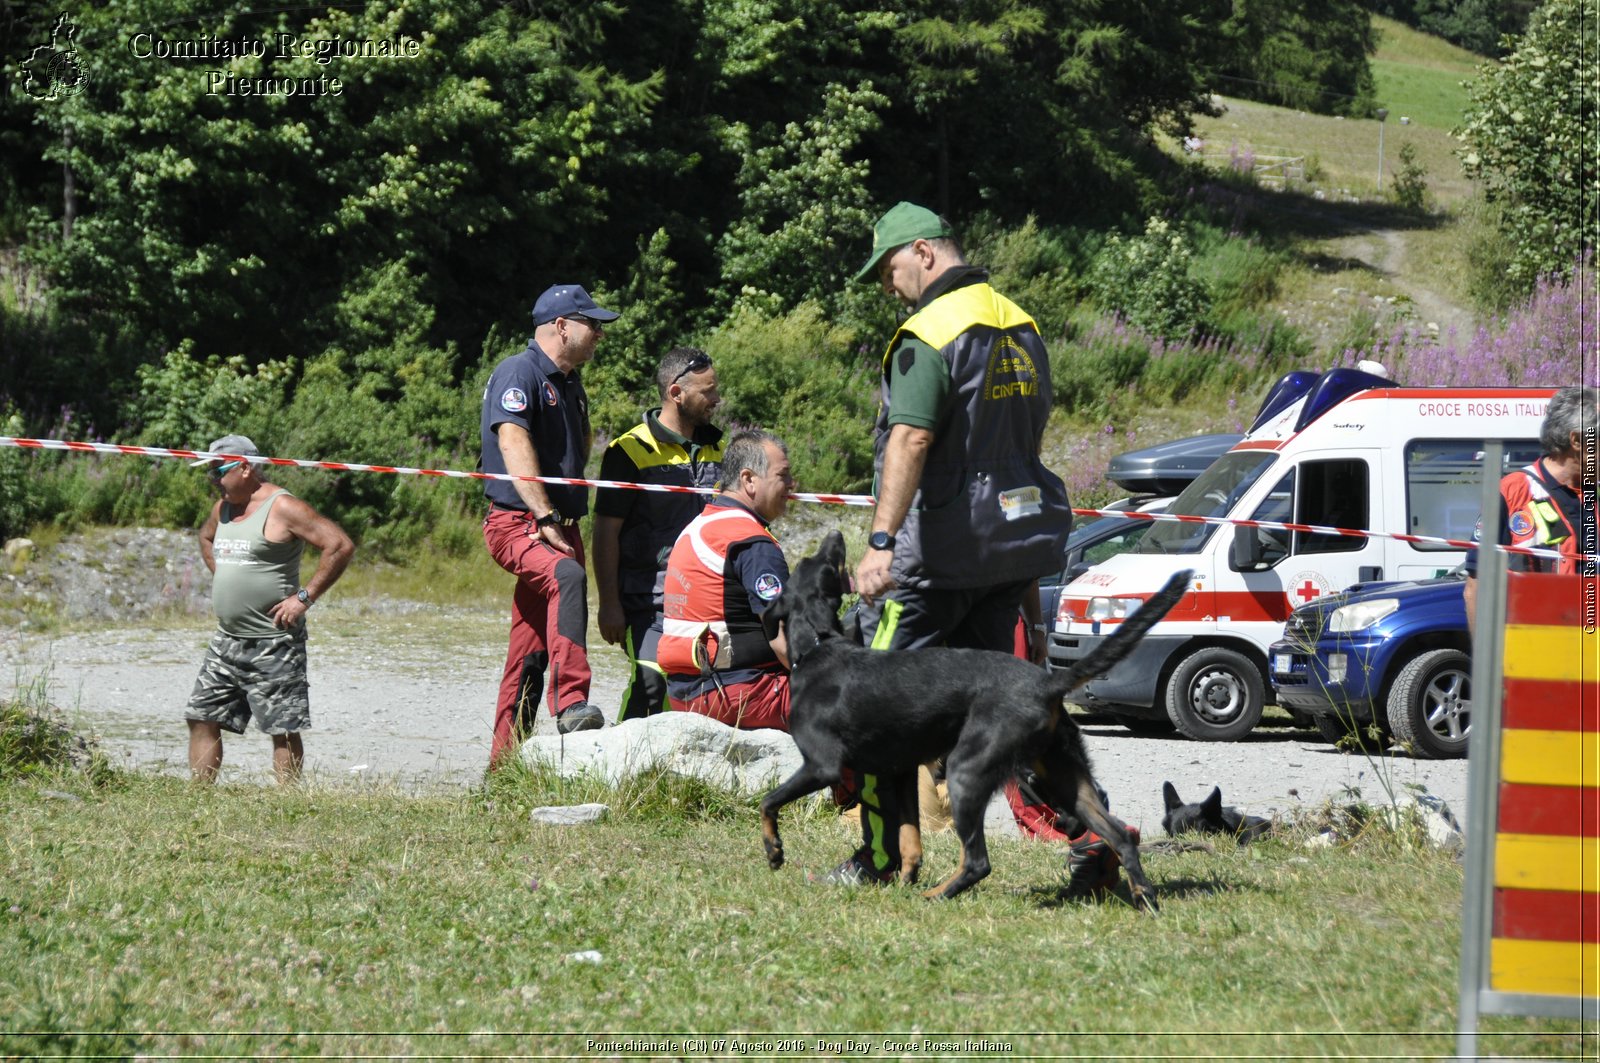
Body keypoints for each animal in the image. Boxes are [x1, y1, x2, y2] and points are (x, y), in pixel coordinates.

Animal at [755, 528, 1196, 909]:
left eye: (812, 562)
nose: (835, 537)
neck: (817, 645)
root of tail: (1047, 682)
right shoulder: (900, 773)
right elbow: (910, 842)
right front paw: (903, 881)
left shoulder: (822, 766)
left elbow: (768, 801)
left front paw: (774, 852)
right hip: (1062, 777)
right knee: (1120, 835)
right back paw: (1143, 896)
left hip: (967, 772)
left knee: (978, 862)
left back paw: (936, 895)